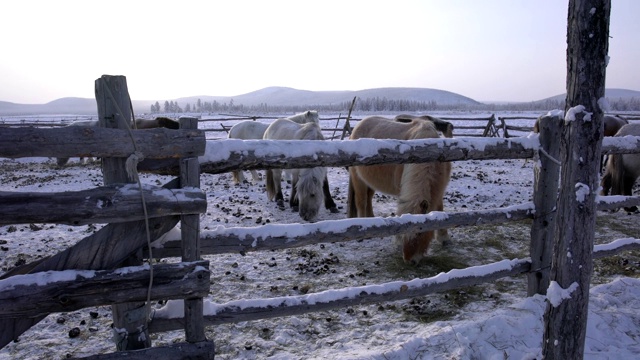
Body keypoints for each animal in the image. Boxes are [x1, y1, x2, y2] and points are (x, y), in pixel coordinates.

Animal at [348, 115, 452, 264]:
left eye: (421, 231)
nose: (410, 261)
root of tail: (358, 126)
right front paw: (397, 242)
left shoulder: (440, 189)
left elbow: (440, 209)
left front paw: (444, 238)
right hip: (358, 179)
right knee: (361, 202)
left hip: (371, 183)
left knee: (368, 199)